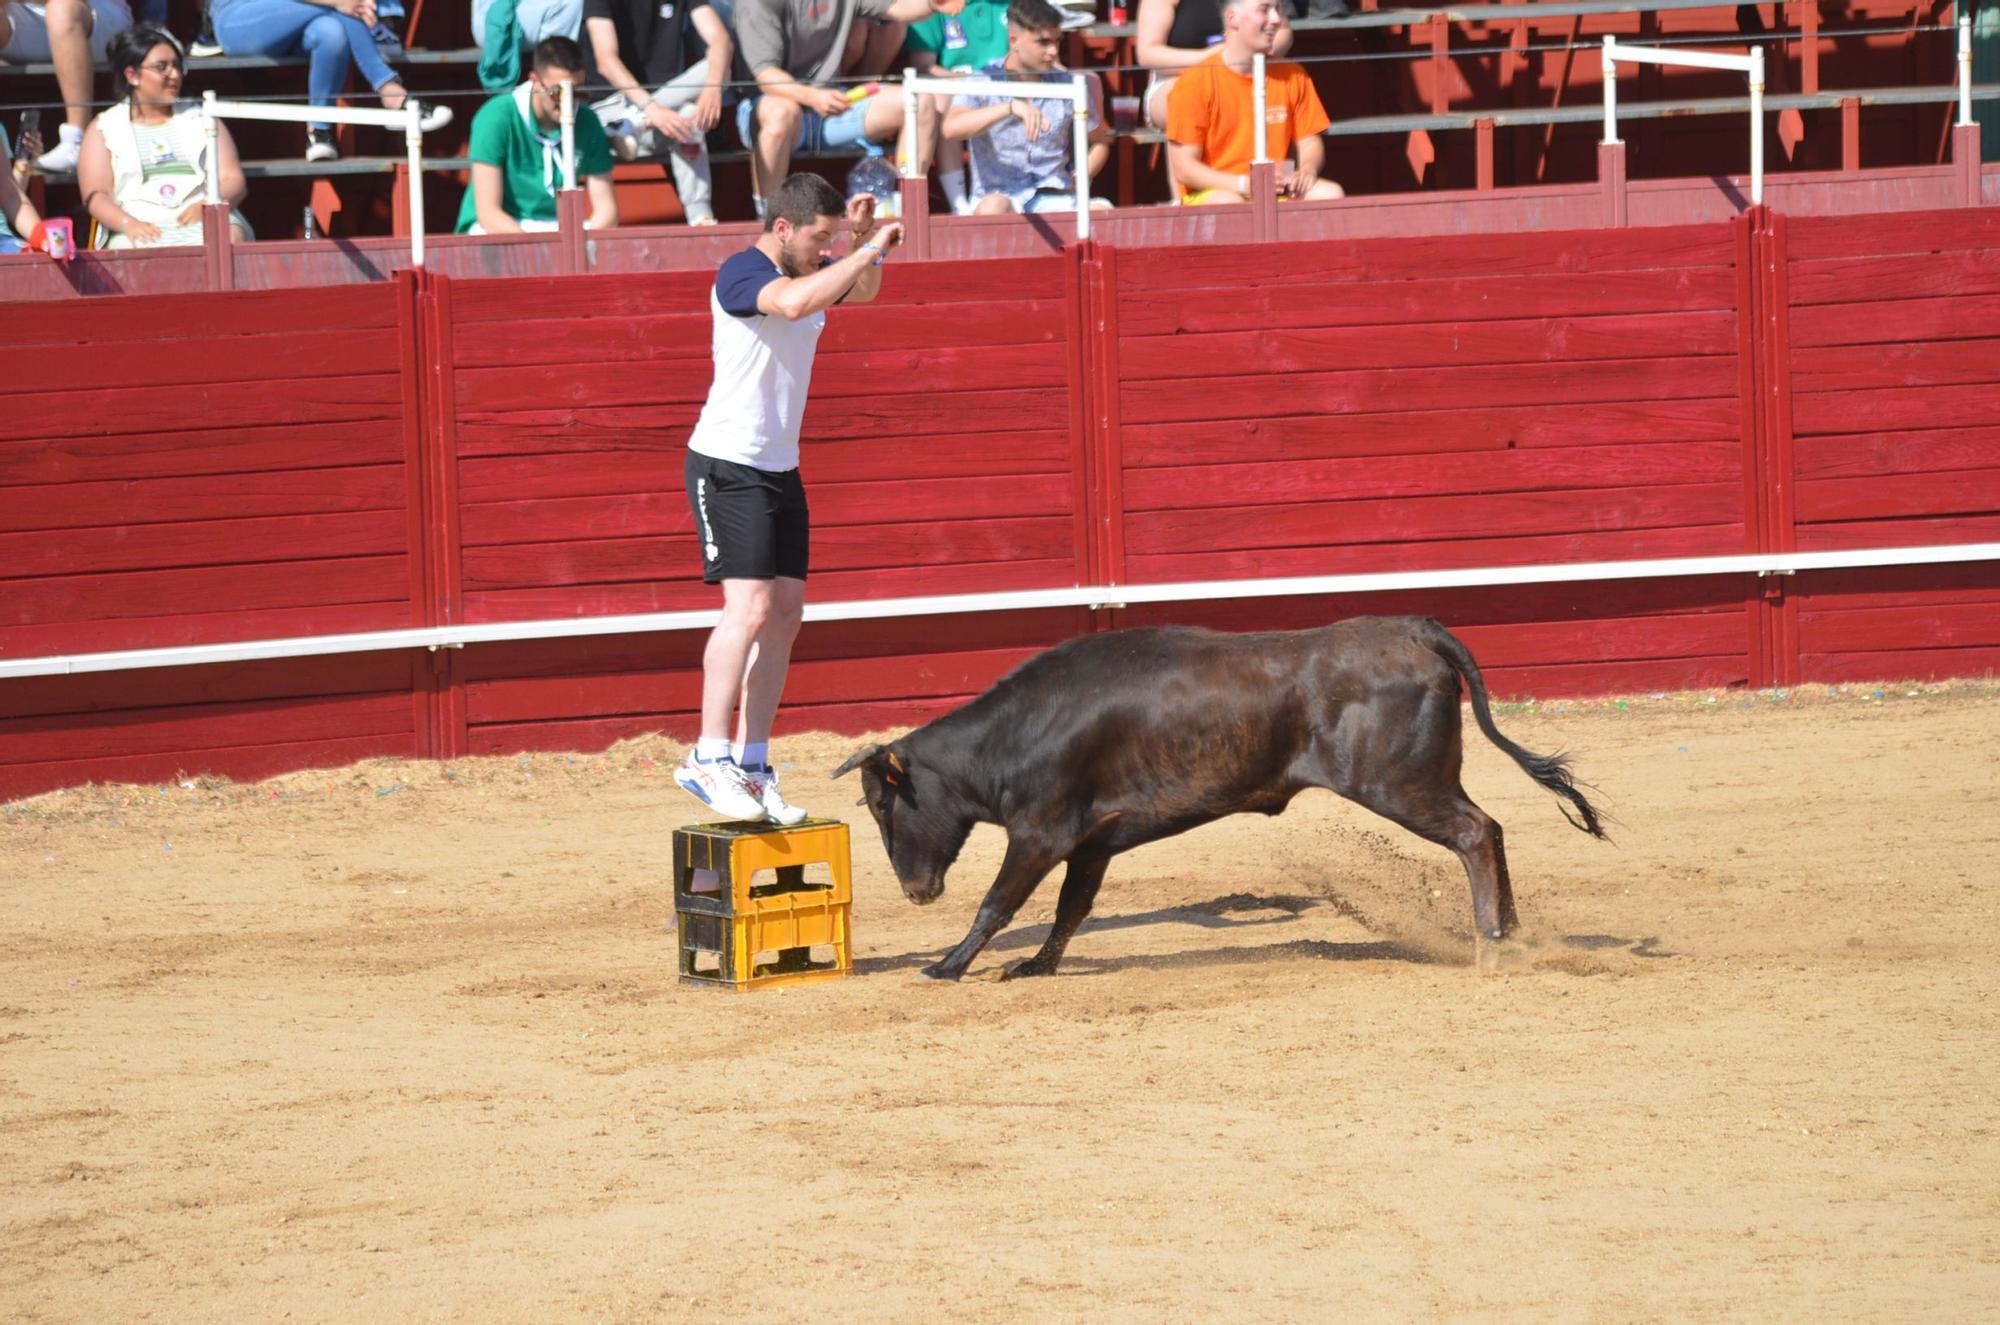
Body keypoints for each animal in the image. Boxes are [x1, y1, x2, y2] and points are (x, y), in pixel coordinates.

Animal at [832, 616, 1608, 980]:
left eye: (881, 806)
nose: (915, 891)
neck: (1016, 732)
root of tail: (1416, 630)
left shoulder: (1040, 832)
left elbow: (999, 902)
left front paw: (947, 965)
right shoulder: (1091, 842)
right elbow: (1070, 908)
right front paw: (1036, 965)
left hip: (1401, 785)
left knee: (1476, 833)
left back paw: (1491, 944)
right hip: (1421, 782)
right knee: (1492, 829)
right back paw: (1513, 934)